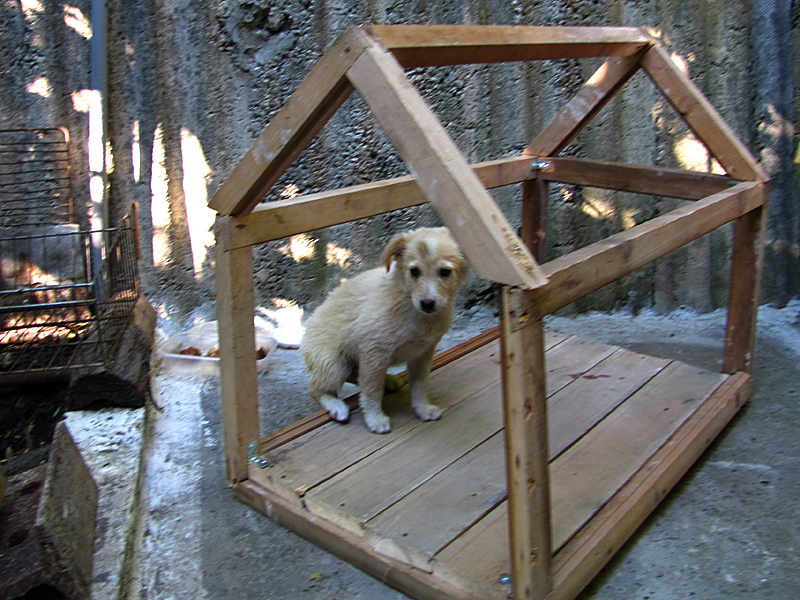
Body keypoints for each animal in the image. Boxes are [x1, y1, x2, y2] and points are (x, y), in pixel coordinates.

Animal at [300, 227, 468, 434]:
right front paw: (375, 419)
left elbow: (419, 385)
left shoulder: (423, 352)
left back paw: (388, 381)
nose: (427, 304)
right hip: (334, 364)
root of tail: (304, 336)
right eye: (414, 271)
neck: (409, 304)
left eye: (445, 272)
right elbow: (372, 390)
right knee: (316, 388)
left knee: (355, 374)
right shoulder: (374, 351)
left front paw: (423, 408)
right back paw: (336, 406)